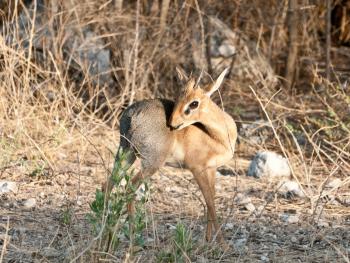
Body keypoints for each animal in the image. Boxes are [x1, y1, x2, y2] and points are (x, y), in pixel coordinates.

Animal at [102, 67, 237, 243]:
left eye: (194, 102)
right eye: (178, 97)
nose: (172, 123)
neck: (218, 136)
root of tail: (132, 114)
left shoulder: (211, 169)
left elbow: (211, 199)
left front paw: (207, 240)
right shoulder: (197, 169)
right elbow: (210, 202)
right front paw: (222, 244)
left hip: (126, 154)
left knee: (107, 185)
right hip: (151, 163)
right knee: (129, 188)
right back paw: (133, 237)